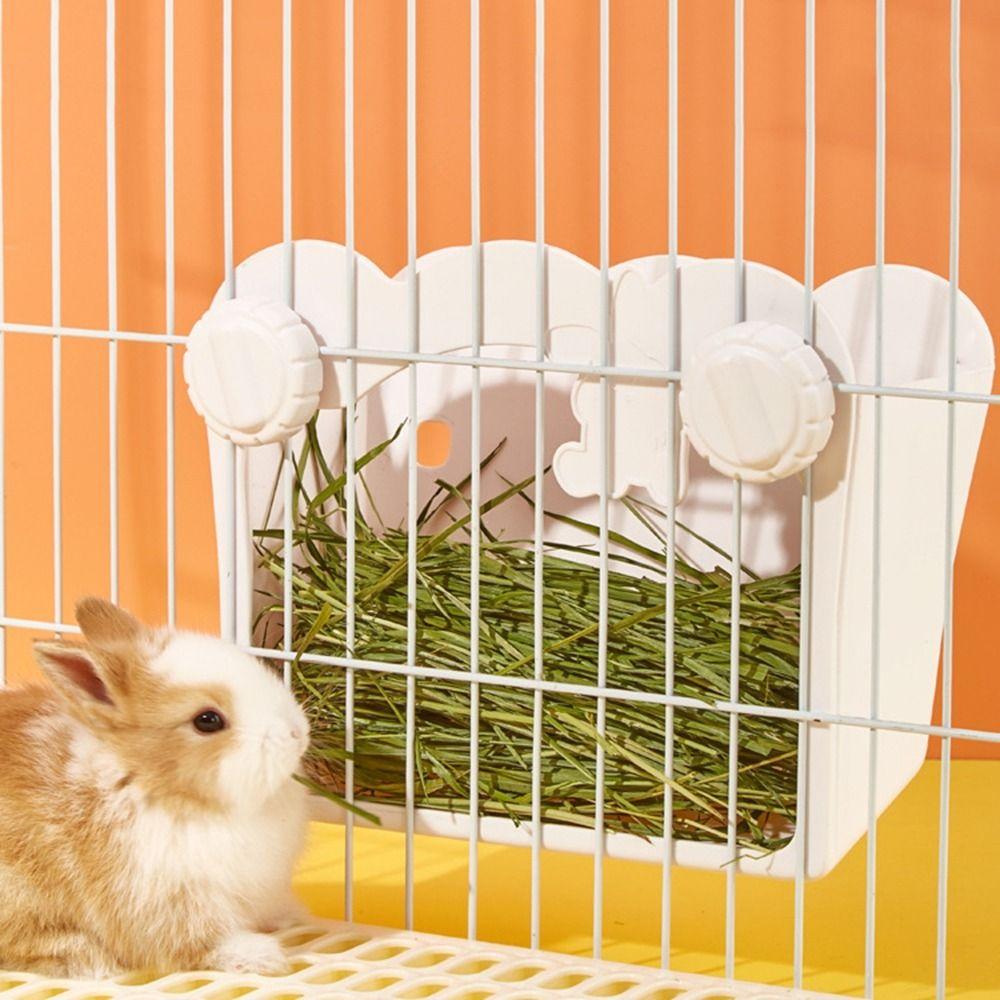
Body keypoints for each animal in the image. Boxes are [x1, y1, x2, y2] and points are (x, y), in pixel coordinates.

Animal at [0, 597, 311, 979]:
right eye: (208, 720)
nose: (297, 733)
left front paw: (291, 917)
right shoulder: (160, 898)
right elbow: (194, 942)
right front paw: (260, 956)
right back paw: (88, 960)